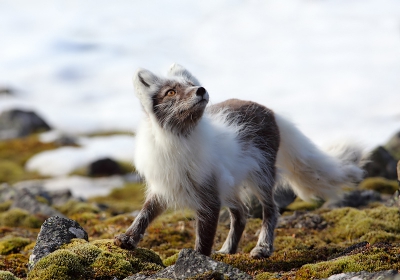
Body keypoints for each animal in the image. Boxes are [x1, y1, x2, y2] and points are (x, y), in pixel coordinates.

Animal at [113, 63, 366, 258]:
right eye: (171, 92)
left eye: (191, 83)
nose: (201, 90)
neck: (177, 140)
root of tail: (270, 111)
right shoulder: (164, 186)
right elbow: (144, 214)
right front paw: (127, 239)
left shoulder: (209, 197)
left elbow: (204, 238)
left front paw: (198, 261)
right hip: (231, 183)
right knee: (242, 214)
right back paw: (228, 249)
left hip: (261, 176)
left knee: (271, 211)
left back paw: (262, 248)